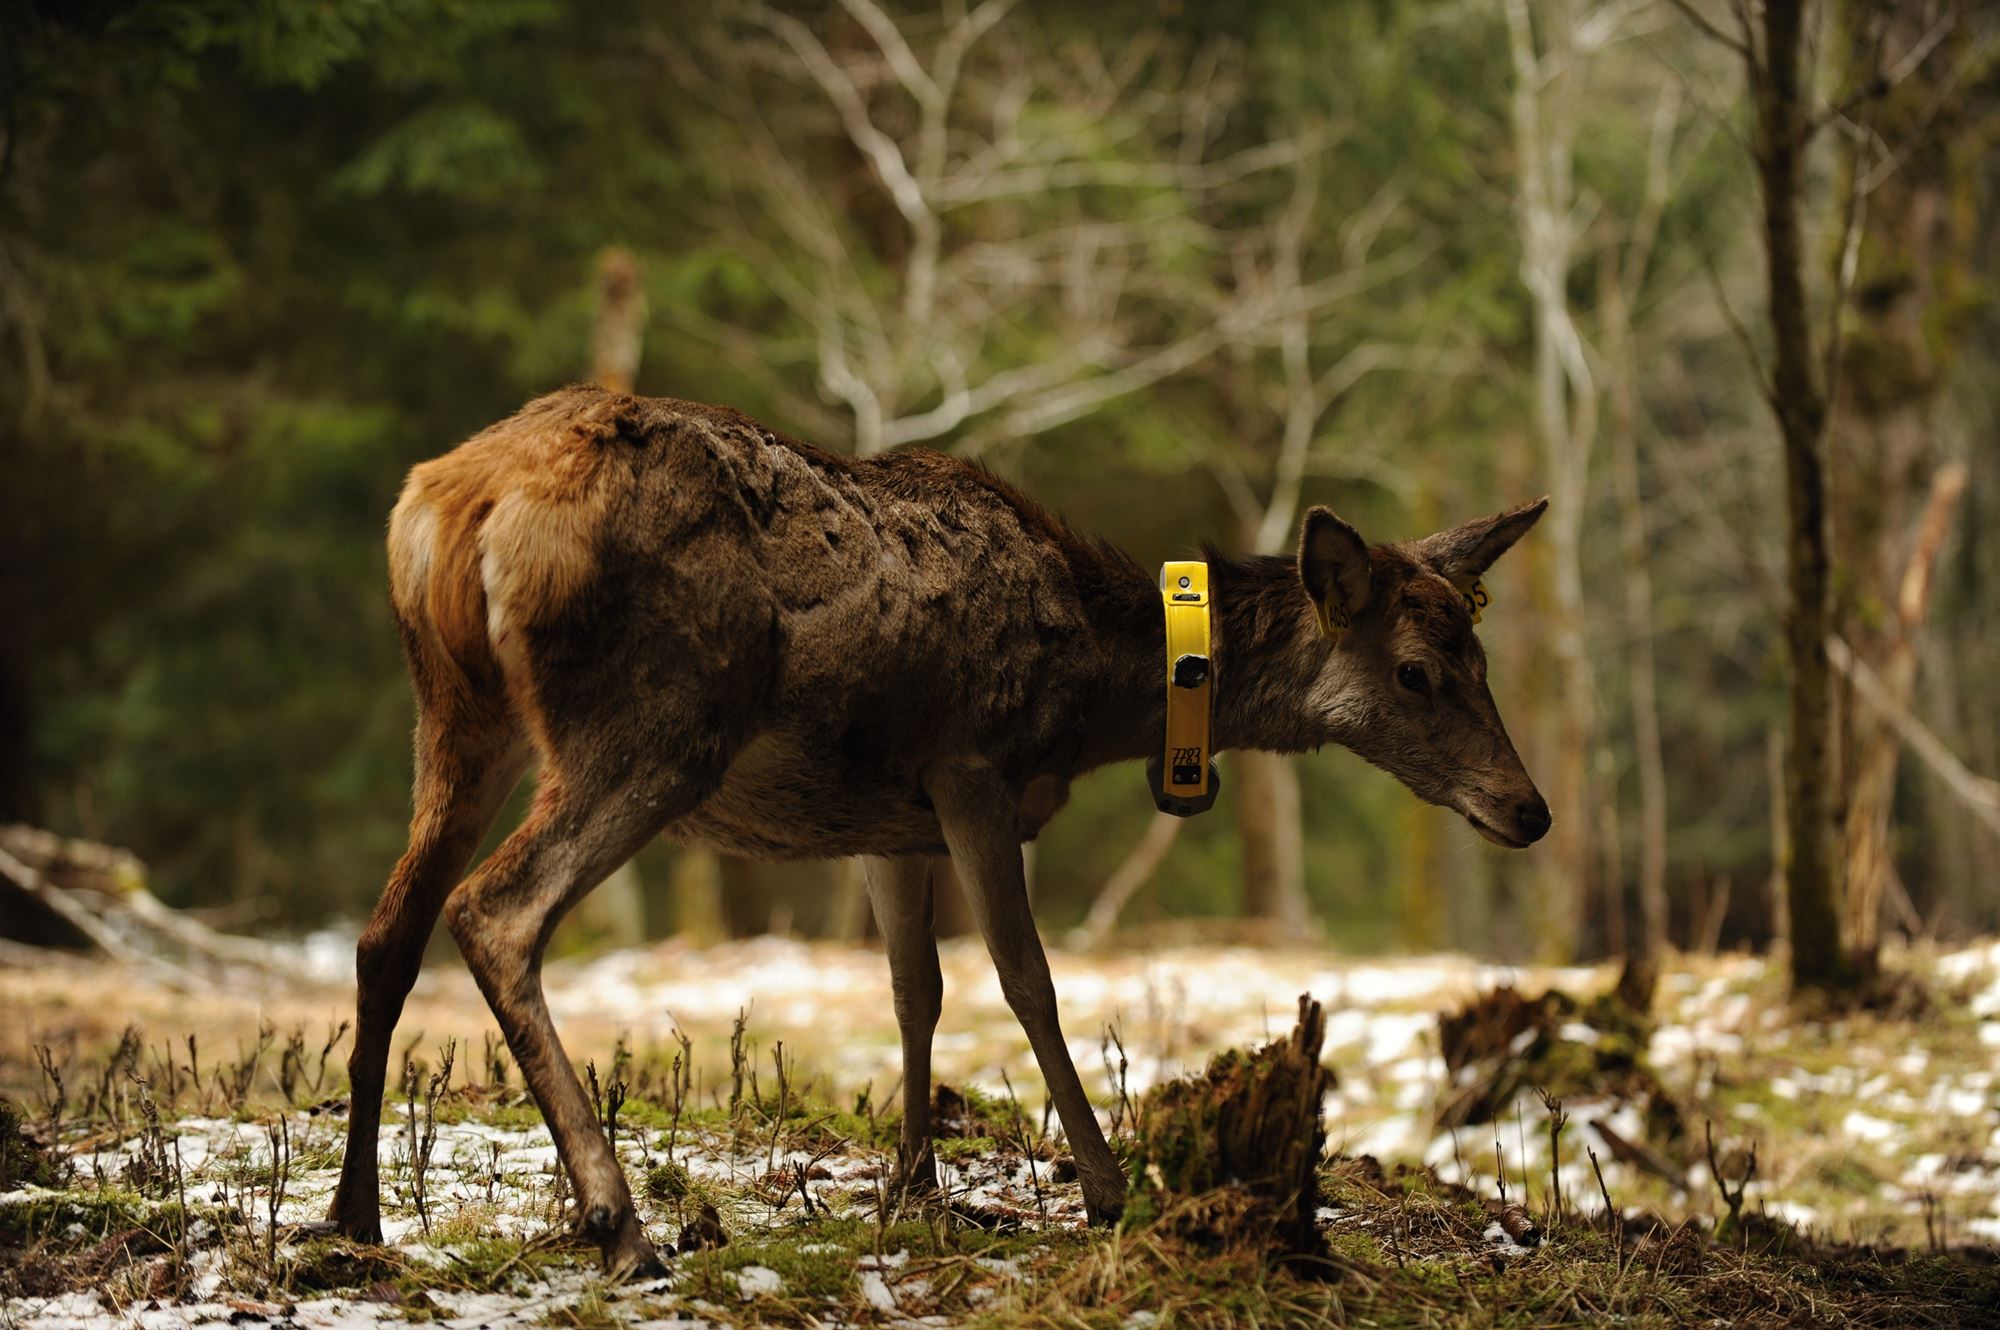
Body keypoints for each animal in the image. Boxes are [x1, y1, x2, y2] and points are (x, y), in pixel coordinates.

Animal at [328, 378, 1552, 1272]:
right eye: (1416, 669)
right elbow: (1027, 979)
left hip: (460, 714)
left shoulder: (885, 818)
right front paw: (1106, 1191)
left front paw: (912, 1186)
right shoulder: (971, 766)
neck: (1093, 697)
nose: (1529, 808)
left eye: (1484, 657)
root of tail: (448, 508)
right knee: (495, 911)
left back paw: (354, 1217)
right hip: (653, 720)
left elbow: (914, 988)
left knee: (386, 932)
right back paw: (619, 1222)